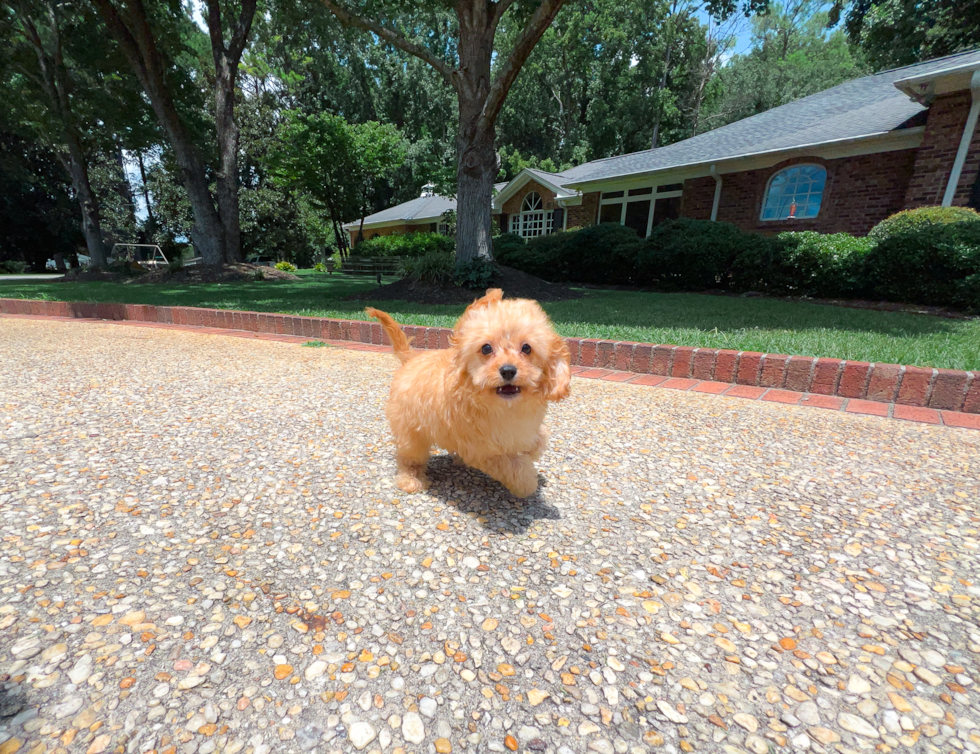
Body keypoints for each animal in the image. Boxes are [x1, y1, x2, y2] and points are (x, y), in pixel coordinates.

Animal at [368, 290, 572, 496]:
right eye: (486, 348)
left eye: (527, 348)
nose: (508, 370)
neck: (505, 406)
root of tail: (411, 358)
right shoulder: (482, 450)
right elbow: (512, 465)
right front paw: (528, 483)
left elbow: (540, 436)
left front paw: (532, 448)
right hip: (410, 433)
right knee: (409, 458)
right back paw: (410, 479)